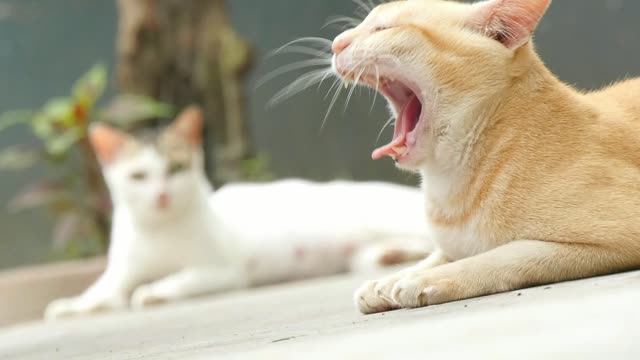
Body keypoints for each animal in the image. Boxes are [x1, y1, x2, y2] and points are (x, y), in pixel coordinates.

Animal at [43, 105, 430, 320]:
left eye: (176, 168)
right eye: (138, 176)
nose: (162, 195)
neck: (159, 230)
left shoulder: (220, 271)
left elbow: (176, 280)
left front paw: (154, 290)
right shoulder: (120, 273)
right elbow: (102, 293)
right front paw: (72, 305)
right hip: (362, 253)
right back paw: (395, 256)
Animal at [328, 0, 640, 312]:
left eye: (385, 28)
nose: (336, 44)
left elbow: (501, 255)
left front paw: (423, 279)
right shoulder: (449, 244)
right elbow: (437, 255)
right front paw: (391, 279)